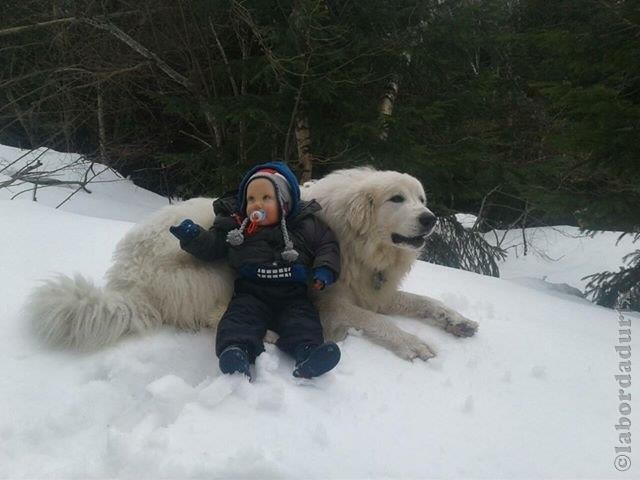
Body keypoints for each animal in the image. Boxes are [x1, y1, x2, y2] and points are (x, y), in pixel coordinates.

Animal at [26, 167, 476, 358]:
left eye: (420, 198)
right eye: (396, 199)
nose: (430, 218)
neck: (360, 241)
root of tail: (126, 284)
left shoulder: (374, 290)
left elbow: (422, 303)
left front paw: (456, 320)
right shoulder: (331, 302)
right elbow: (378, 322)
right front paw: (413, 342)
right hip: (214, 272)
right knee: (213, 317)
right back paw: (271, 335)